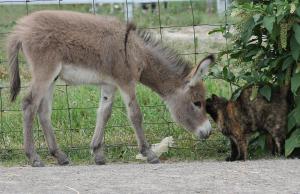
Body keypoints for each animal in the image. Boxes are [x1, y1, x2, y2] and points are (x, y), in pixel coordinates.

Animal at [7, 10, 213, 167]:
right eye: (197, 103)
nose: (209, 132)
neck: (136, 52)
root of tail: (22, 27)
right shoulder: (126, 82)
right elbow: (135, 115)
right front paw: (149, 153)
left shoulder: (109, 85)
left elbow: (104, 113)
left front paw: (97, 153)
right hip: (45, 71)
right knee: (29, 104)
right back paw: (34, 157)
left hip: (53, 77)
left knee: (43, 111)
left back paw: (60, 156)